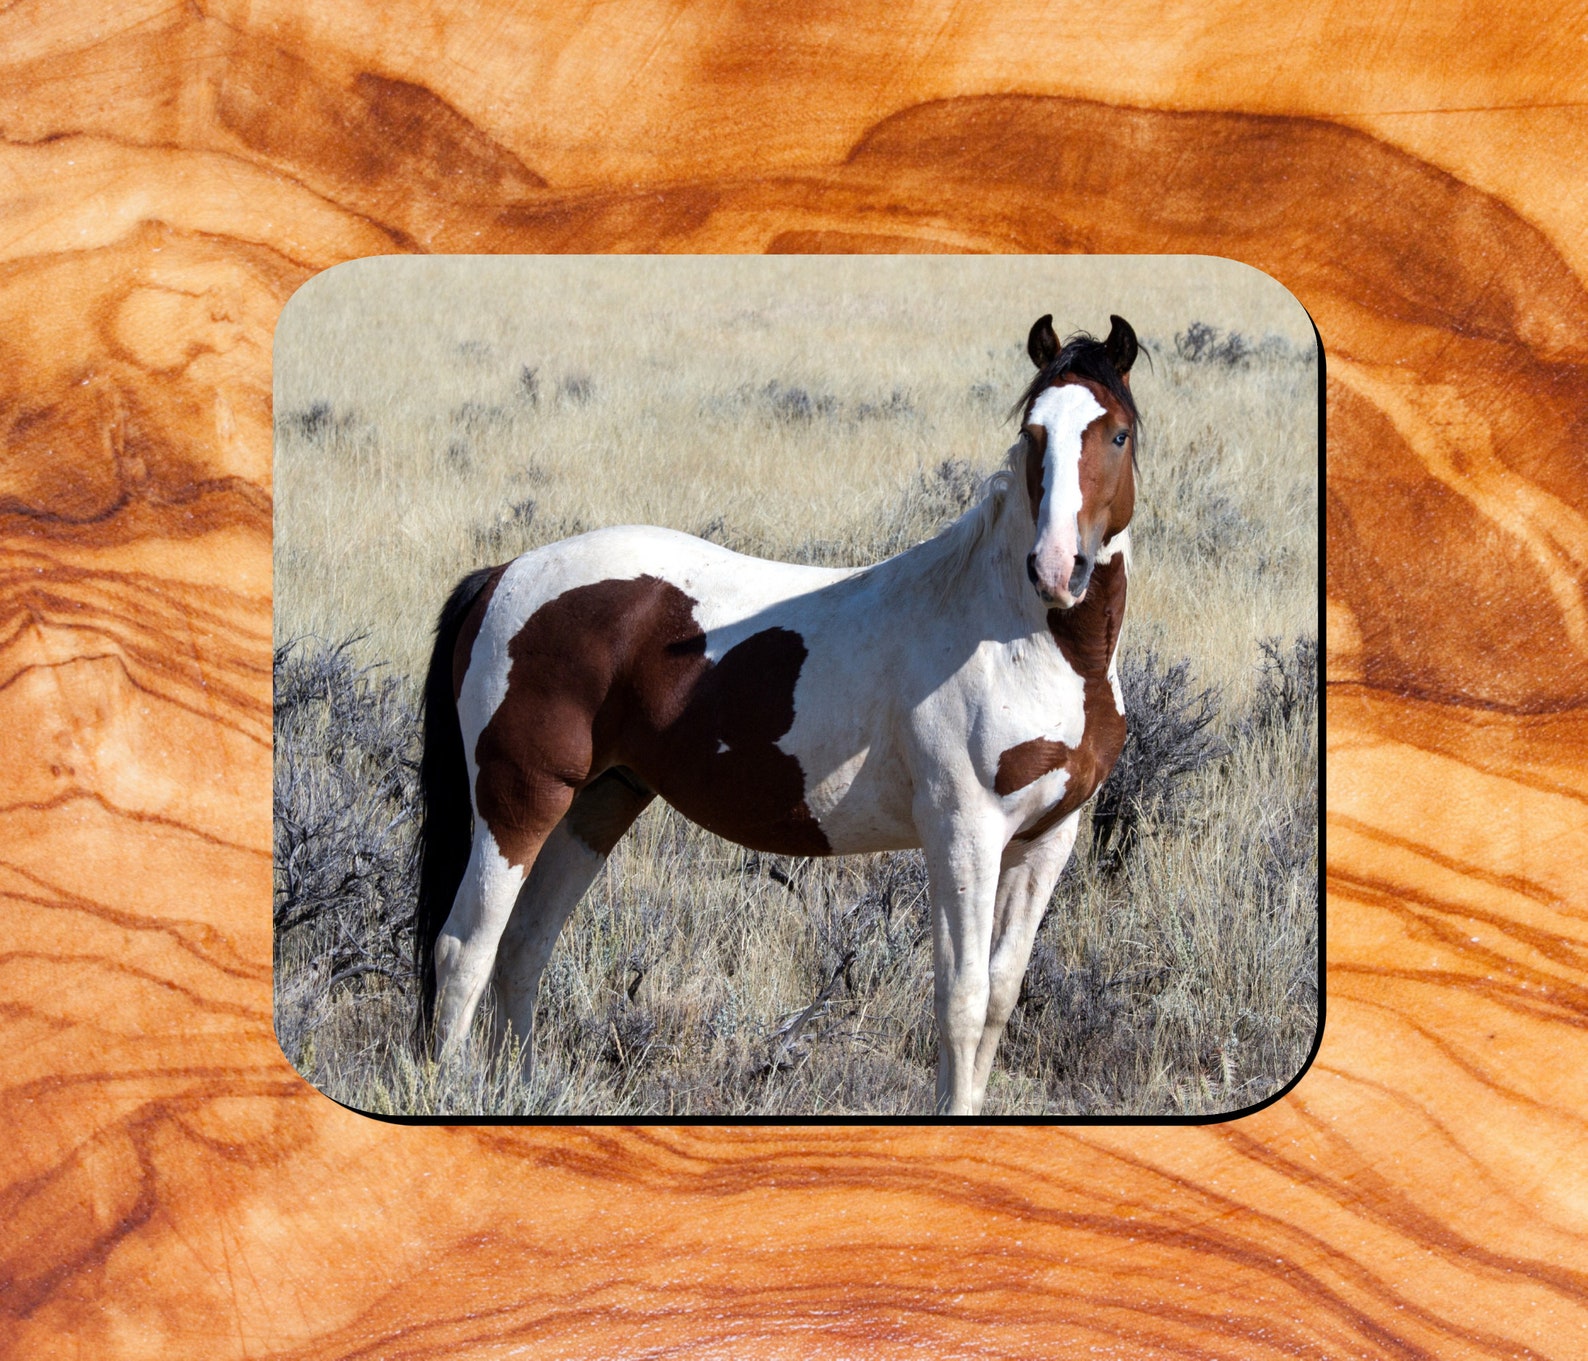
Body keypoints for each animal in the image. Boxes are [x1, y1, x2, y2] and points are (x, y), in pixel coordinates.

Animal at [415, 313, 1140, 1115]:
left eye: (1117, 434)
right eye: (1033, 433)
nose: (1057, 569)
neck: (1016, 636)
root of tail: (502, 576)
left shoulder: (1045, 839)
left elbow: (1000, 998)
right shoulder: (964, 833)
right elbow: (961, 996)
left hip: (597, 805)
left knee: (523, 947)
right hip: (518, 803)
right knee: (464, 948)